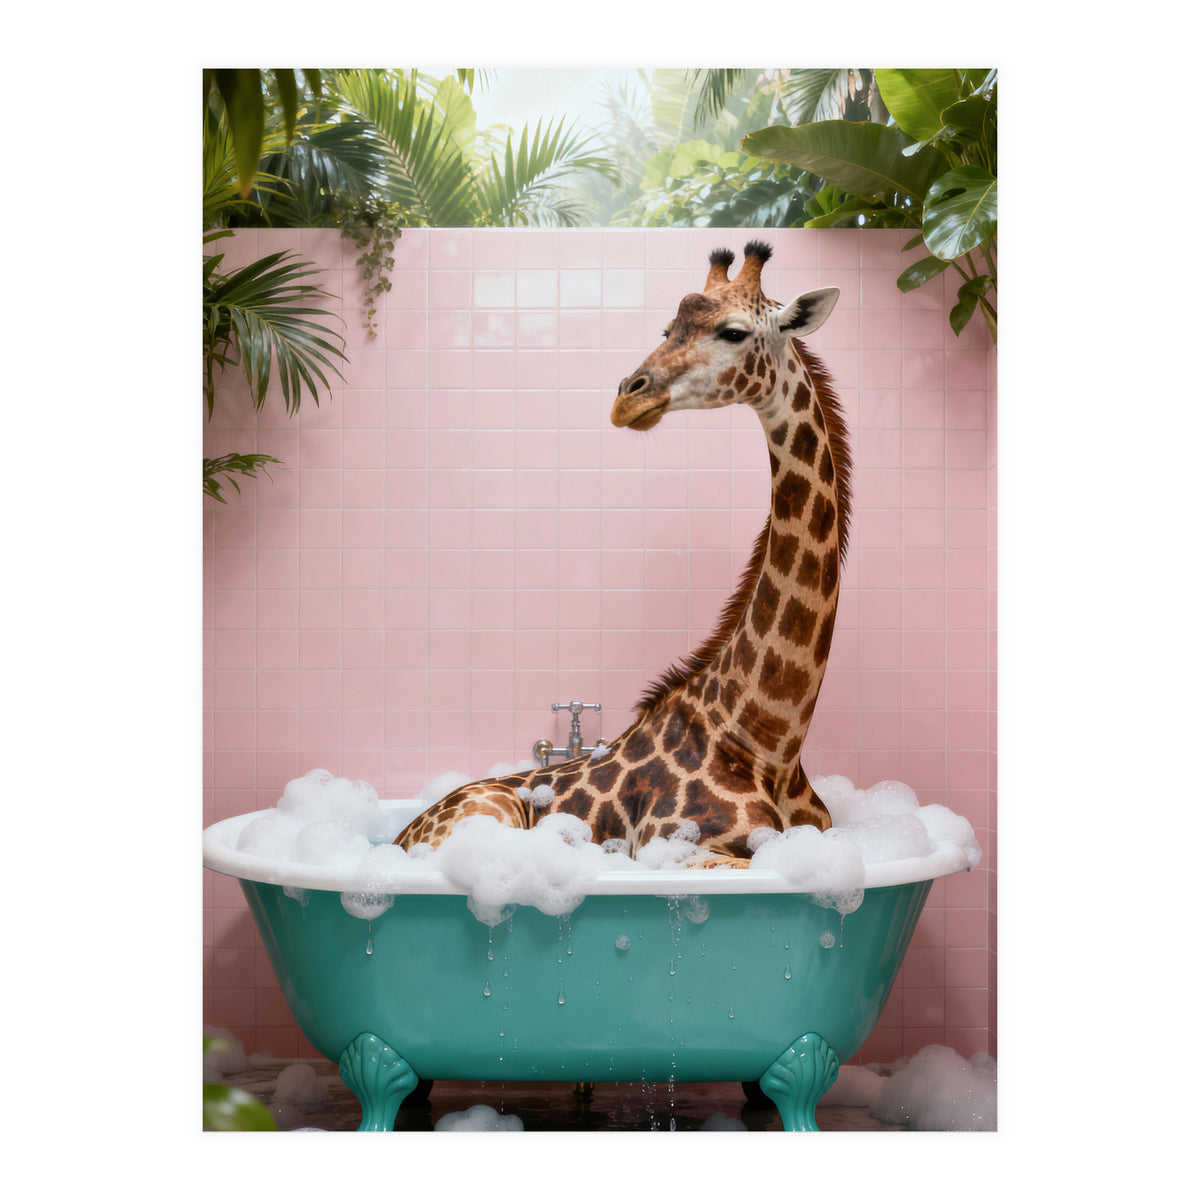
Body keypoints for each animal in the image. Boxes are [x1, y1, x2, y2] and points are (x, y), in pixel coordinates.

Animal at [395, 240, 852, 867]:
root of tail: (399, 836)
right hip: (491, 814)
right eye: (667, 328)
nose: (628, 398)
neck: (770, 741)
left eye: (734, 332)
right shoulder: (678, 847)